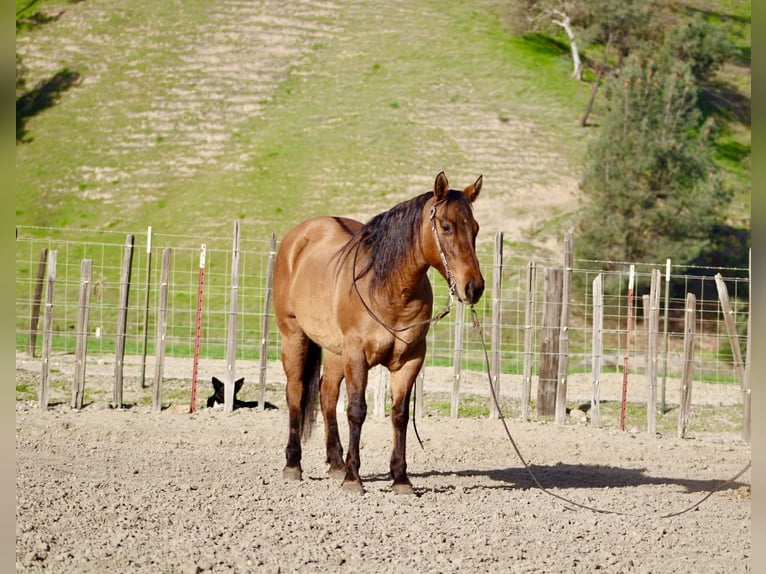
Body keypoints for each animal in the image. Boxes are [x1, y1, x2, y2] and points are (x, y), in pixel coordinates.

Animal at [273, 171, 484, 494]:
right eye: (447, 226)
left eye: (475, 229)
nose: (474, 287)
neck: (388, 287)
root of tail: (297, 238)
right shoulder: (357, 356)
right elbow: (357, 411)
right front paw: (353, 478)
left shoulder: (410, 360)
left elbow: (399, 415)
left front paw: (400, 478)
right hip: (294, 336)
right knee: (295, 392)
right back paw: (293, 464)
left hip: (335, 351)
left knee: (327, 393)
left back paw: (335, 463)